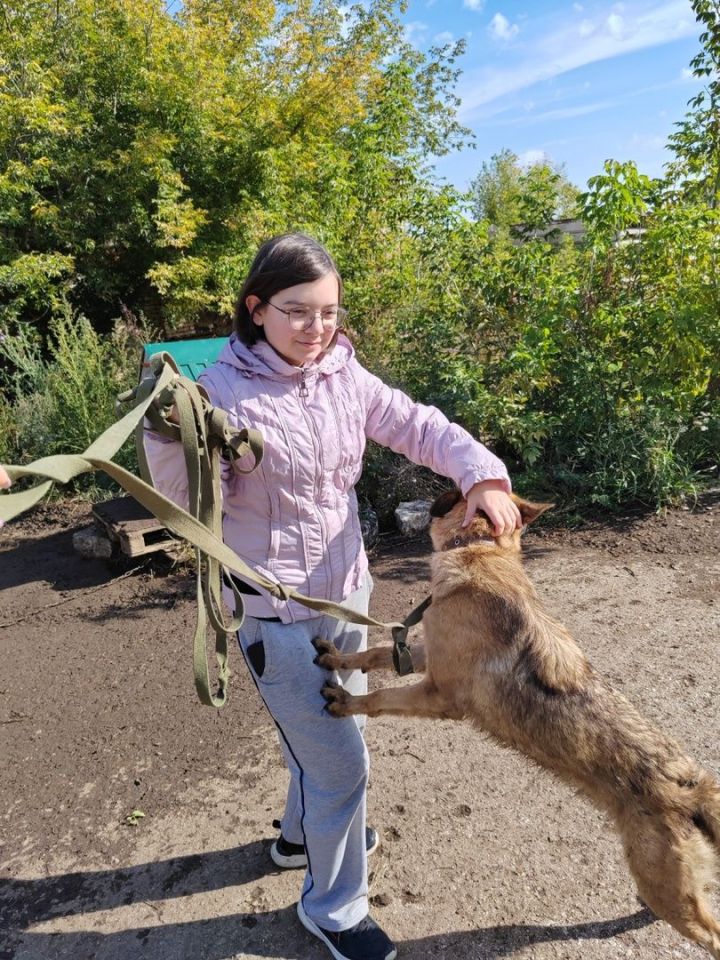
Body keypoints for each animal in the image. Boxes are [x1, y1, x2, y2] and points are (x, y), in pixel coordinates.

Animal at [318, 492, 720, 956]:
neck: (481, 550)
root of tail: (691, 787)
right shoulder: (424, 655)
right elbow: (378, 652)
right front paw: (338, 658)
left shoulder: (437, 694)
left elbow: (380, 698)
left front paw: (346, 701)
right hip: (665, 887)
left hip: (667, 888)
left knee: (713, 934)